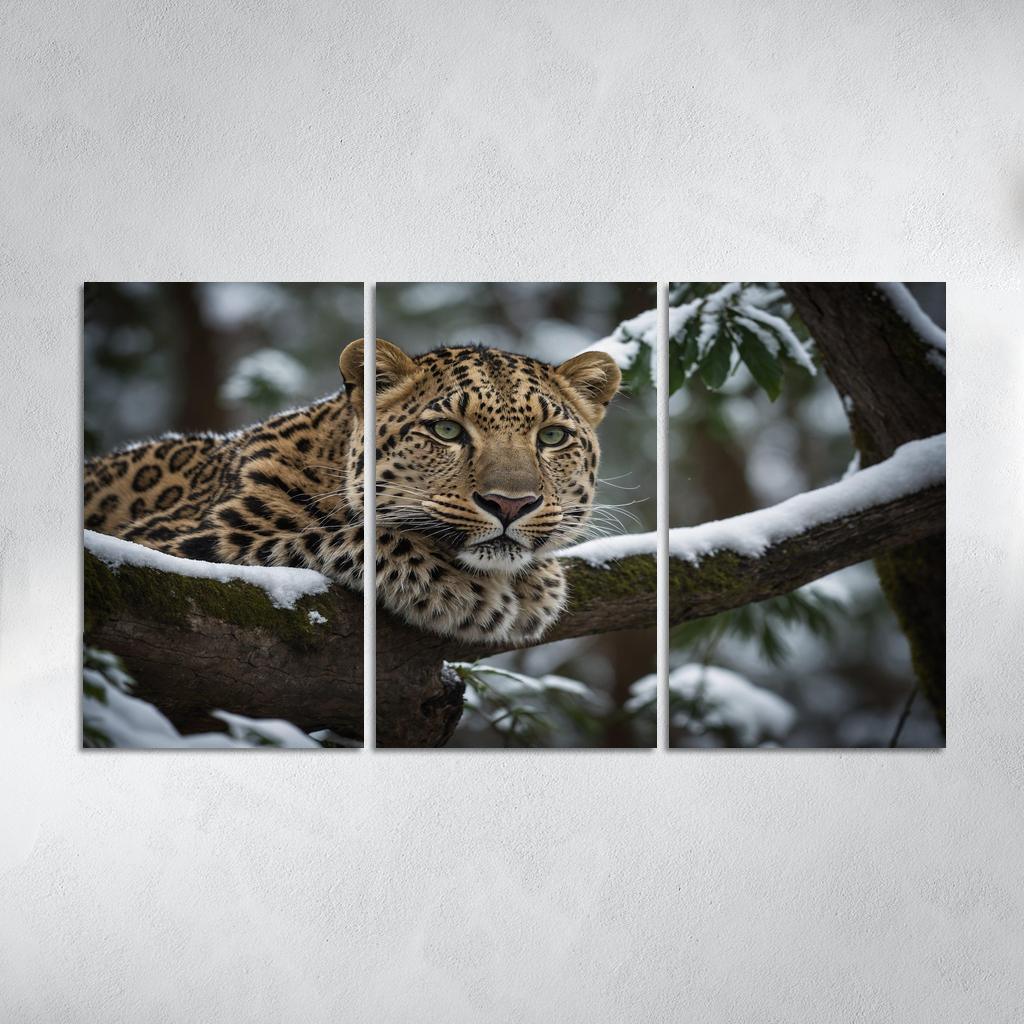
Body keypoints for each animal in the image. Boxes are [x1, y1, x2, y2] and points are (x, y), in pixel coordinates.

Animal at [83, 340, 621, 644]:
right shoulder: (170, 545)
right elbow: (346, 535)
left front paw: (537, 581)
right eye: (447, 431)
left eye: (551, 437)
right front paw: (468, 589)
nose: (511, 504)